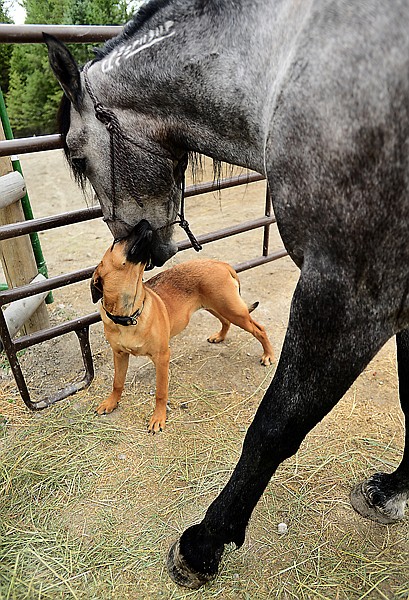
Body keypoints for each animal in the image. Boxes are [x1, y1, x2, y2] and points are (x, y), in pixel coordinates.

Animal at [91, 220, 272, 432]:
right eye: (117, 241)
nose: (144, 221)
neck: (129, 315)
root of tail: (220, 263)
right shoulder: (119, 355)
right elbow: (117, 383)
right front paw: (111, 402)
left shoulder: (162, 357)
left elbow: (161, 392)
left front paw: (158, 418)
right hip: (216, 307)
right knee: (225, 321)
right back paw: (220, 336)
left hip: (234, 311)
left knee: (260, 329)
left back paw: (268, 355)